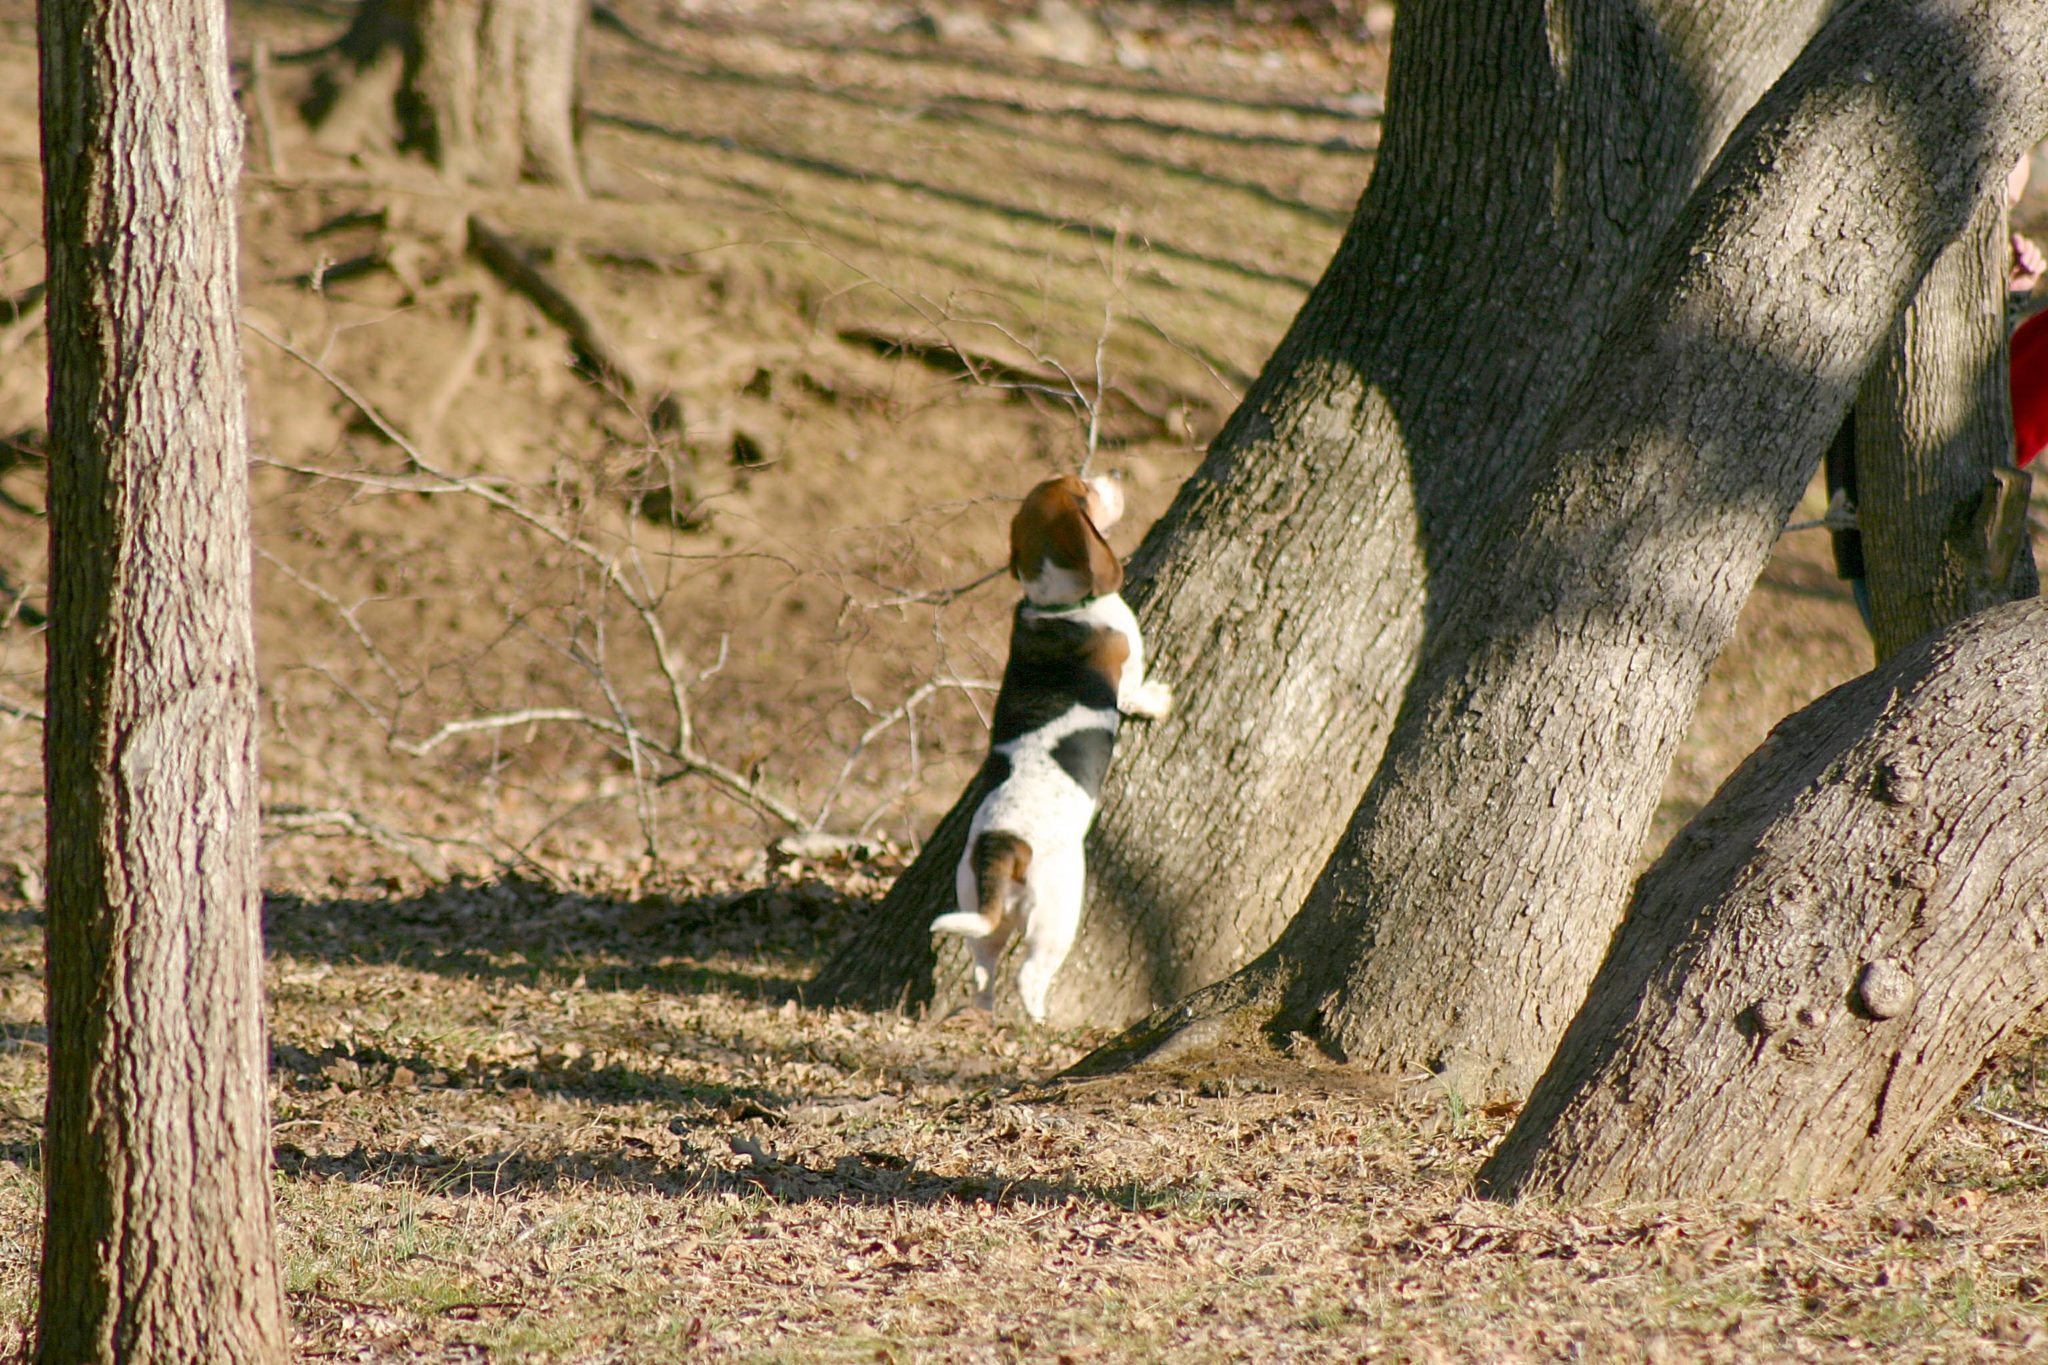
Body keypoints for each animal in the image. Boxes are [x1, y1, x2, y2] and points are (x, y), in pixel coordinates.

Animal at [929, 474, 1171, 1019]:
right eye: (1086, 490)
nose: (1116, 476)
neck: (1056, 603)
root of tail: (1003, 842)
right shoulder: (1127, 671)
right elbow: (1136, 692)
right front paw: (1159, 701)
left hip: (977, 907)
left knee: (984, 969)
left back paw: (983, 1012)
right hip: (1057, 913)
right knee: (1028, 975)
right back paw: (1041, 1019)